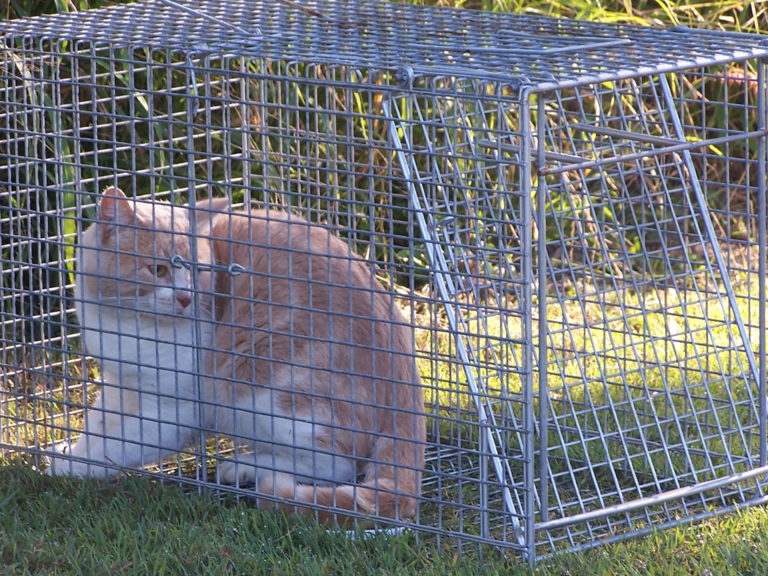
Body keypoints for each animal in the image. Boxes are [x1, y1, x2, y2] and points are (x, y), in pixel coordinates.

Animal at [48, 187, 426, 524]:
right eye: (158, 270)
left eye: (198, 270)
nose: (186, 298)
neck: (127, 325)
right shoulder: (120, 383)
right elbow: (98, 426)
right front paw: (72, 452)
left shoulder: (177, 409)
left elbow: (120, 445)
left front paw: (74, 467)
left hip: (262, 387)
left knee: (335, 465)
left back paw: (248, 466)